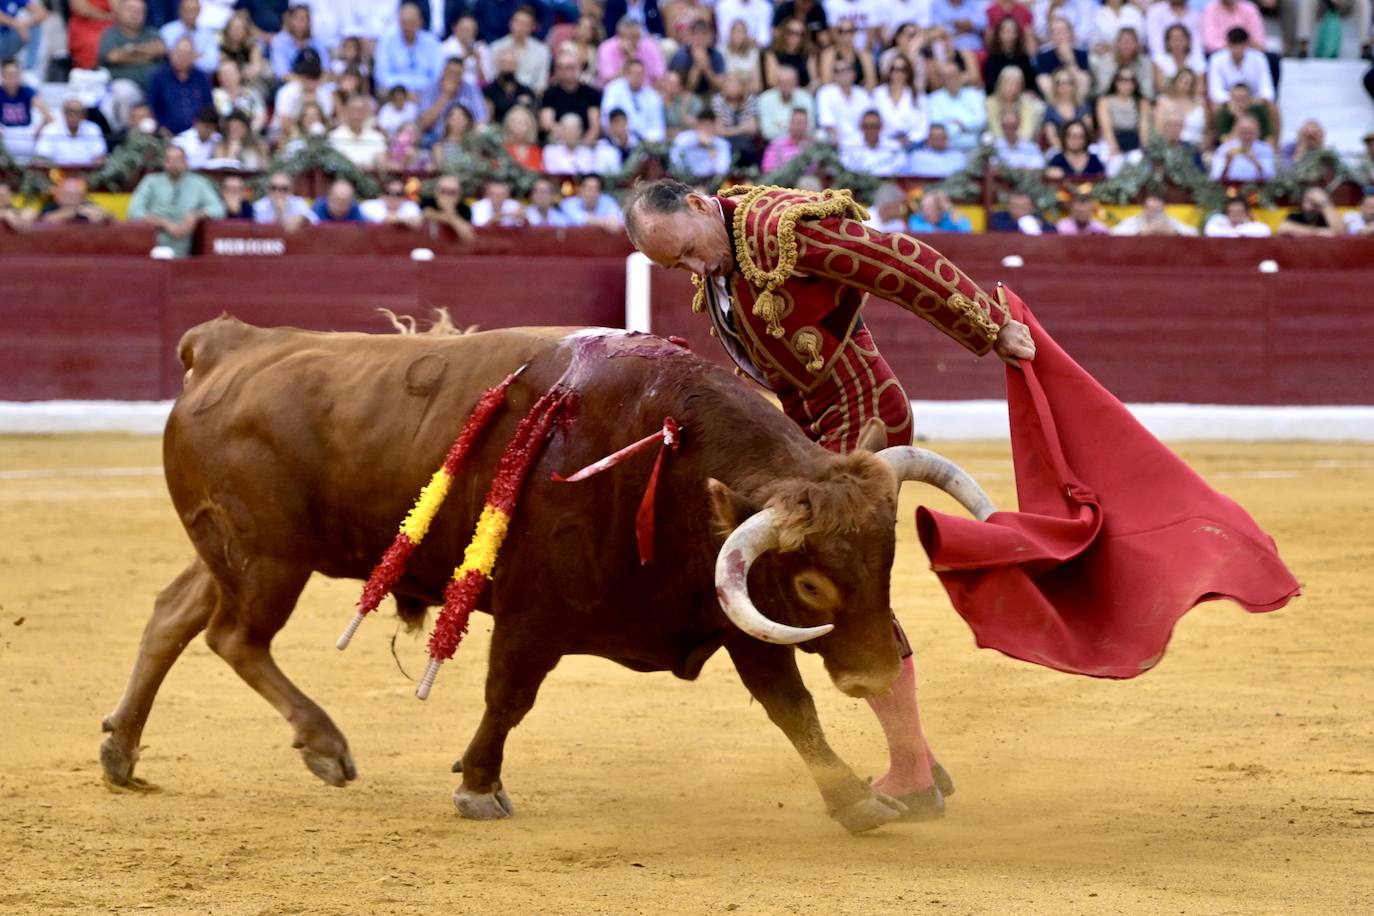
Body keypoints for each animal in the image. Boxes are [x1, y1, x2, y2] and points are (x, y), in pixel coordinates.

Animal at [101, 318, 994, 834]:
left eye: (887, 560)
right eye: (812, 586)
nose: (876, 669)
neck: (662, 458)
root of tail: (229, 345)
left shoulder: (729, 604)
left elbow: (792, 709)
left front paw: (854, 799)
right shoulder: (533, 613)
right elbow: (509, 697)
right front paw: (478, 786)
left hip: (232, 551)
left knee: (172, 614)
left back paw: (121, 753)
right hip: (269, 557)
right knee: (233, 636)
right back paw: (324, 745)